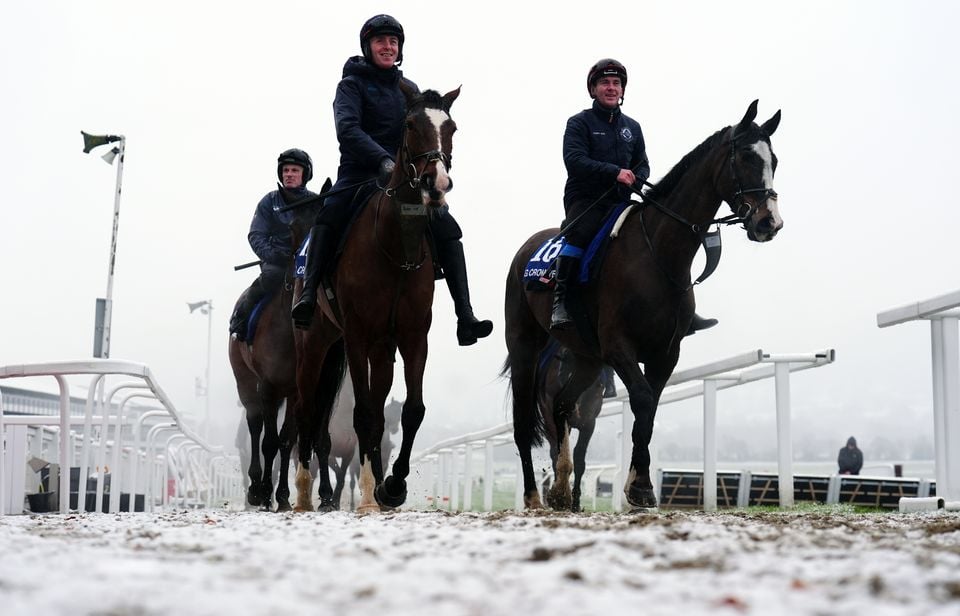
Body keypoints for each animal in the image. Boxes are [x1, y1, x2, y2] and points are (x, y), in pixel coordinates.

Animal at [290, 84, 460, 512]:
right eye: (411, 124)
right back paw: (302, 494)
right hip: (314, 343)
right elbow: (364, 412)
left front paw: (392, 486)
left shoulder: (413, 336)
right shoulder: (356, 336)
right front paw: (369, 496)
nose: (437, 182)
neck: (396, 248)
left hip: (379, 350)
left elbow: (411, 410)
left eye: (450, 127)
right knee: (305, 409)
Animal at [532, 336, 600, 510]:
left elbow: (579, 457)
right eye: (561, 372)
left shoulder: (589, 422)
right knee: (554, 453)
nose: (574, 410)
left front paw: (575, 503)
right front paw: (561, 496)